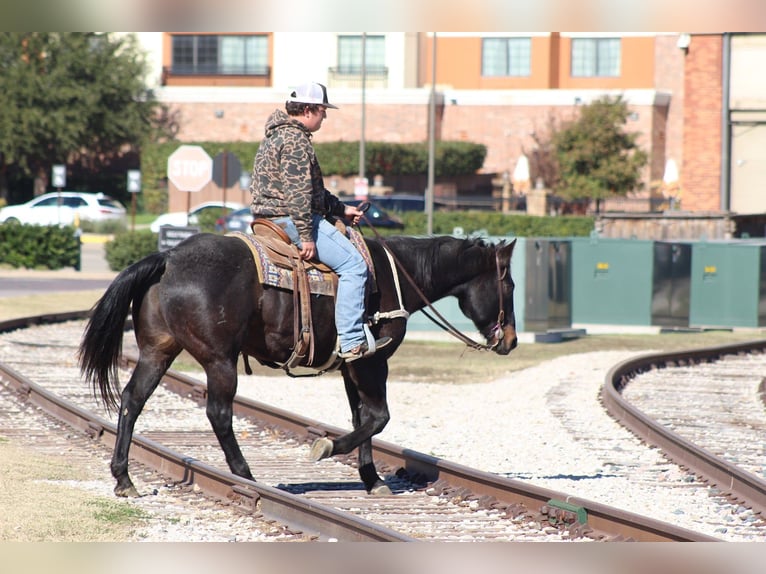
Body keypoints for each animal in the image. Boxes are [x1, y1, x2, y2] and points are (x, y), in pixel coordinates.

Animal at [78, 230, 518, 497]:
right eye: (509, 284)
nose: (511, 340)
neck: (394, 277)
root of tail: (168, 258)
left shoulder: (351, 366)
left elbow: (362, 418)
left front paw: (372, 479)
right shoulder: (372, 362)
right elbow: (378, 418)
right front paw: (326, 447)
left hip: (158, 352)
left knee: (132, 401)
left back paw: (124, 478)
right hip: (219, 360)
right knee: (219, 412)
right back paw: (245, 475)